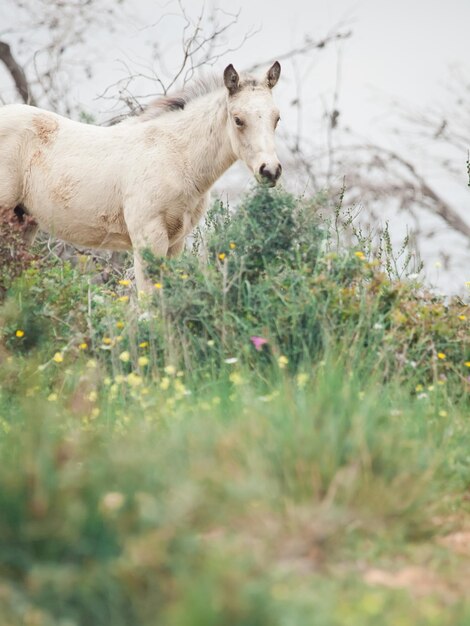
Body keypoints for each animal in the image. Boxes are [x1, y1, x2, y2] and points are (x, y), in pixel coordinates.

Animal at [0, 61, 280, 290]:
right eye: (238, 119)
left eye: (276, 118)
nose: (270, 170)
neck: (176, 156)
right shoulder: (148, 237)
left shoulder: (176, 243)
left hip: (23, 223)